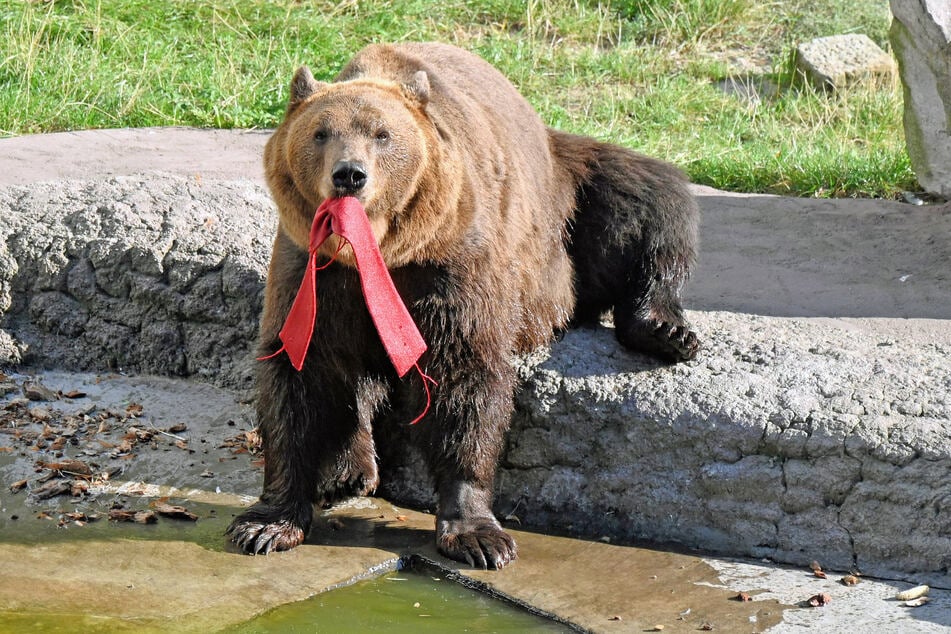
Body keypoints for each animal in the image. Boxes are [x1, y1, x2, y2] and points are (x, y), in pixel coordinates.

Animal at [225, 43, 700, 568]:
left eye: (382, 134)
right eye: (320, 132)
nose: (349, 175)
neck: (374, 252)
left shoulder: (448, 263)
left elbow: (463, 378)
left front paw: (477, 534)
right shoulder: (312, 272)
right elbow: (298, 370)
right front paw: (267, 523)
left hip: (569, 203)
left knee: (647, 198)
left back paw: (664, 329)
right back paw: (348, 471)